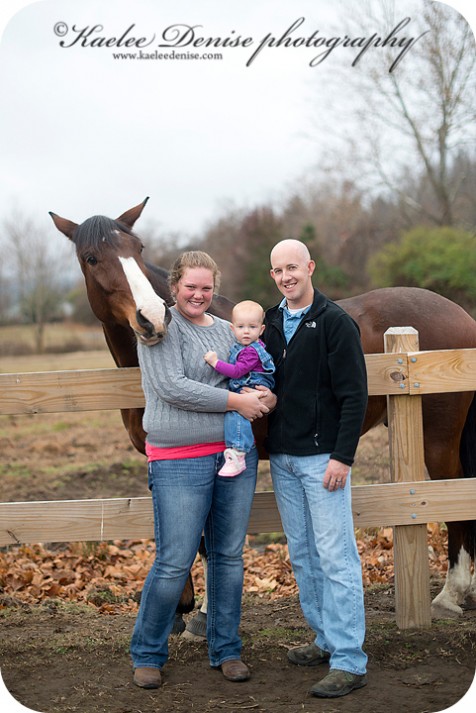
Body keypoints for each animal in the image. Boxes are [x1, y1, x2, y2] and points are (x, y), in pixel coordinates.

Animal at [50, 197, 474, 624]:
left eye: (137, 249)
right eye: (92, 258)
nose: (153, 317)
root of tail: (459, 313)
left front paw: (204, 611)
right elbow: (177, 527)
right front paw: (181, 607)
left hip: (437, 441)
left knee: (453, 493)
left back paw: (450, 593)